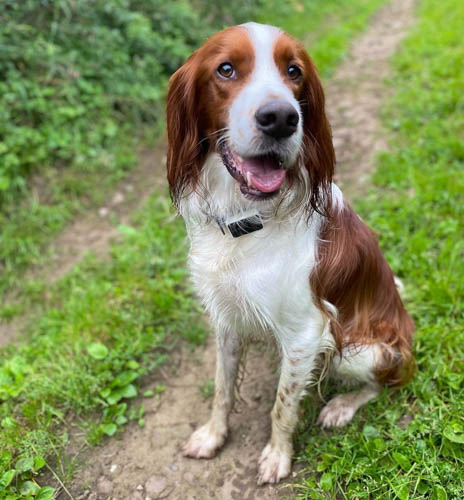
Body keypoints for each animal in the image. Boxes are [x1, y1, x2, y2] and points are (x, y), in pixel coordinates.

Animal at [165, 22, 416, 484]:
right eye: (225, 69)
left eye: (294, 71)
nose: (281, 118)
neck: (247, 219)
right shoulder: (226, 318)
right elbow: (222, 388)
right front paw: (212, 435)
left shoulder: (307, 333)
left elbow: (282, 406)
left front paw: (277, 456)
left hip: (356, 350)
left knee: (386, 381)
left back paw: (341, 406)